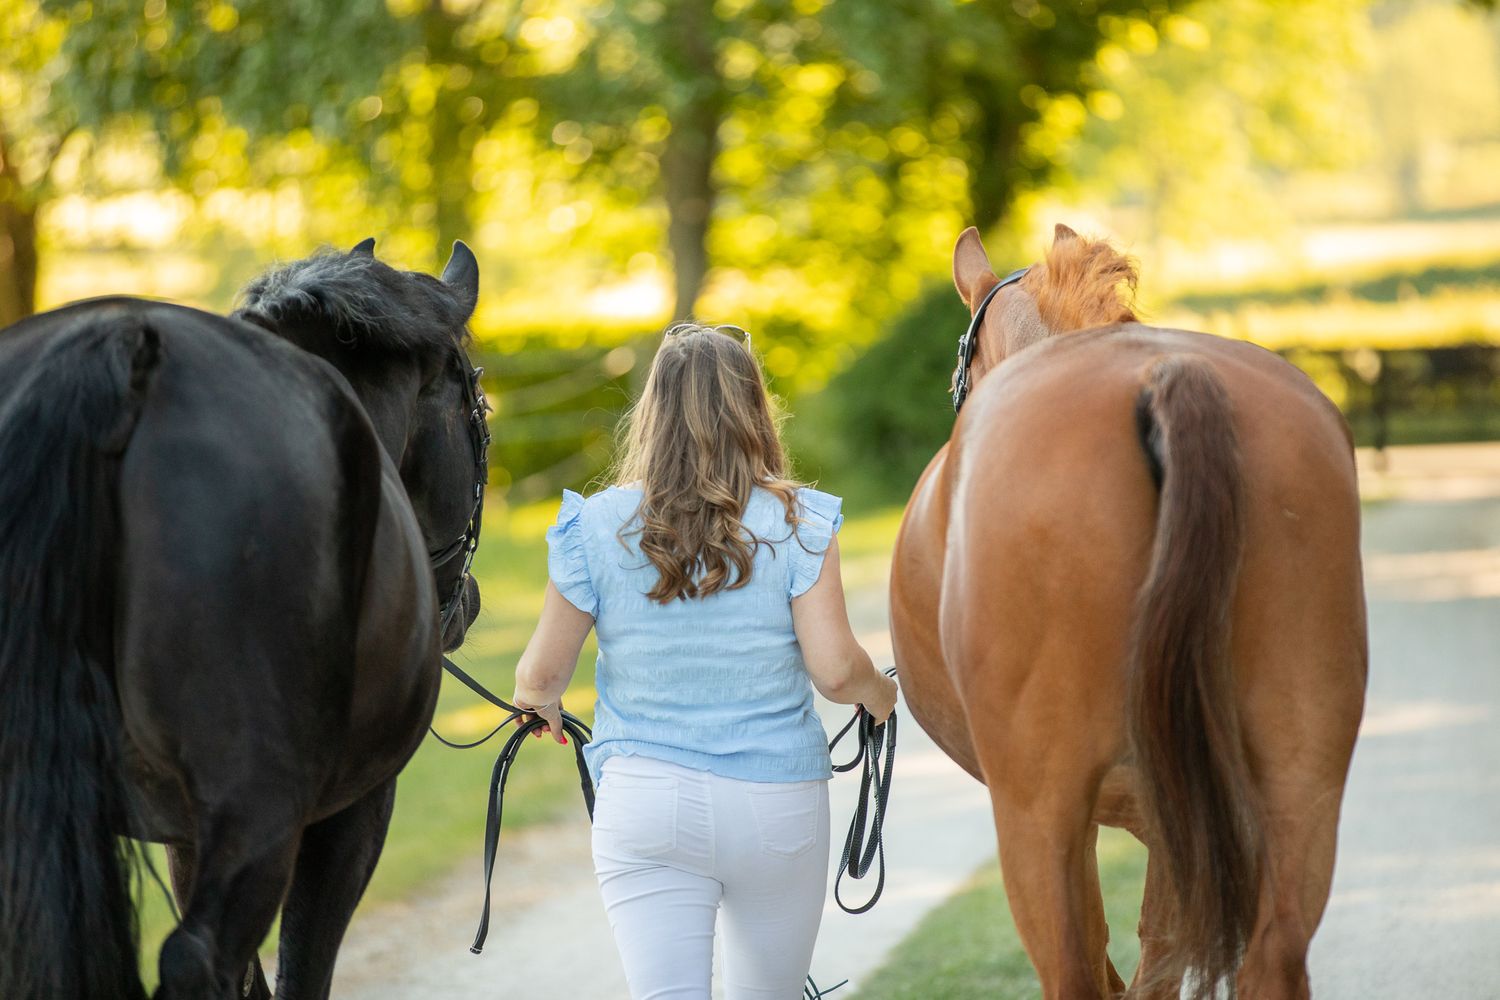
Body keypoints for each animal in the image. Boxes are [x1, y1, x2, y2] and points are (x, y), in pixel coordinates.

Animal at [0, 239, 488, 1000]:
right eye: (478, 403)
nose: (465, 605)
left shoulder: (183, 832)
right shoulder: (350, 813)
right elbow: (297, 969)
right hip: (259, 810)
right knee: (195, 960)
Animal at [889, 225, 1367, 999]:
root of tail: (1164, 377)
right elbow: (1160, 949)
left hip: (1039, 813)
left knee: (1073, 969)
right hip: (1303, 780)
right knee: (1271, 956)